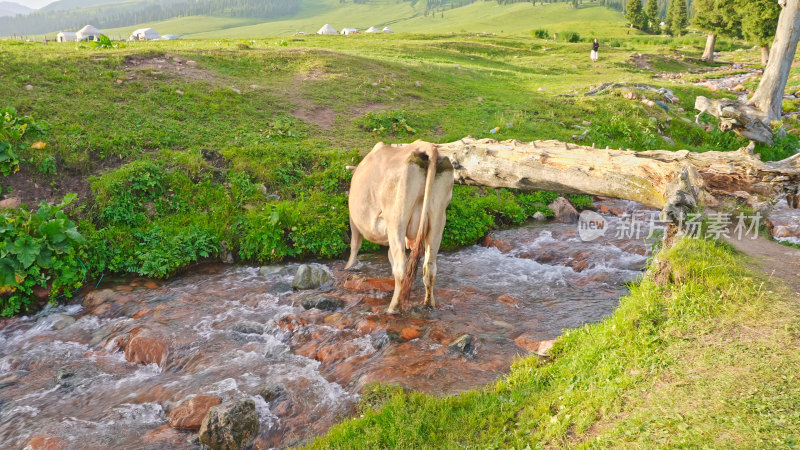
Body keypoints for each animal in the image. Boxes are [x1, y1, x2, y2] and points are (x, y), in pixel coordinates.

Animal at [346, 140, 454, 312]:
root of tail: (426, 146)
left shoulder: (354, 222)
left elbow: (354, 246)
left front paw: (348, 267)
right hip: (438, 219)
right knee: (430, 266)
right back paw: (428, 304)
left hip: (396, 219)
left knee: (401, 266)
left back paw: (393, 308)